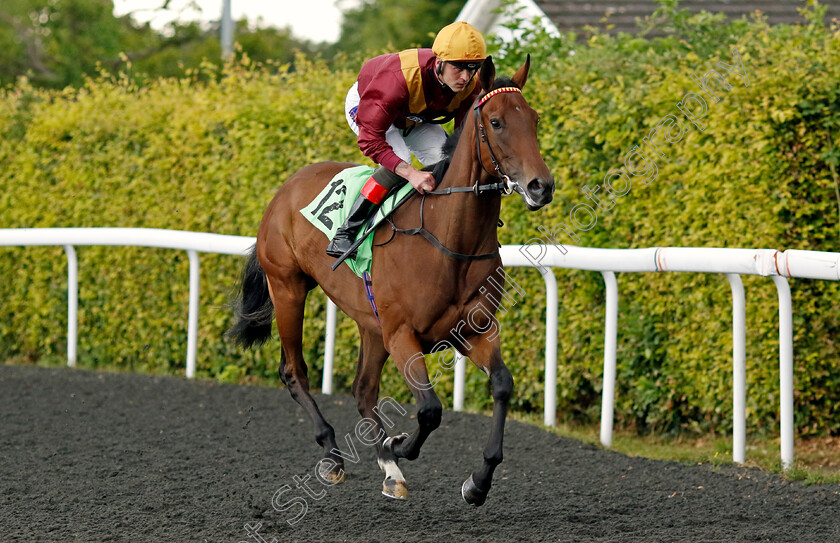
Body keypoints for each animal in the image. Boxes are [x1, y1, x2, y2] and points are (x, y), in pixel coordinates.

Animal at [230, 55, 556, 506]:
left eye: (535, 119)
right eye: (496, 122)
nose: (541, 186)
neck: (448, 240)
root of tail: (286, 187)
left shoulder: (474, 330)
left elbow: (503, 385)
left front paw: (477, 481)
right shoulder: (403, 334)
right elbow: (430, 410)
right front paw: (398, 445)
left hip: (371, 323)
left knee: (364, 389)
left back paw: (389, 470)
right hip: (288, 288)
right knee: (294, 371)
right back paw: (334, 454)